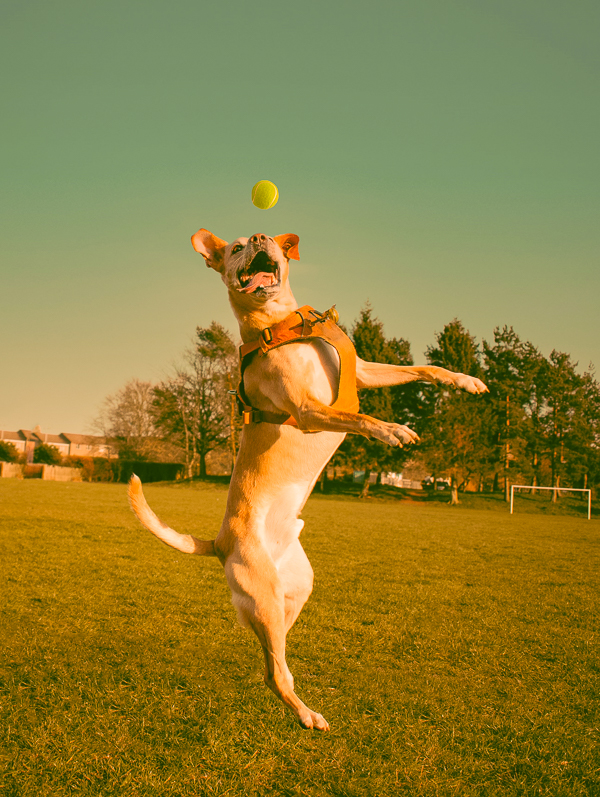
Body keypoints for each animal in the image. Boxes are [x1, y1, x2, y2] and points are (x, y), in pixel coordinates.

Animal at [127, 229, 488, 728]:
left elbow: (422, 369)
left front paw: (464, 380)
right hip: (264, 596)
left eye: (262, 238)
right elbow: (360, 417)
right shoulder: (308, 411)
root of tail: (219, 542)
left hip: (292, 593)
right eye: (236, 247)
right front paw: (392, 429)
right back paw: (306, 714)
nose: (261, 237)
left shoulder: (364, 373)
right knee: (276, 673)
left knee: (271, 657)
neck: (280, 325)